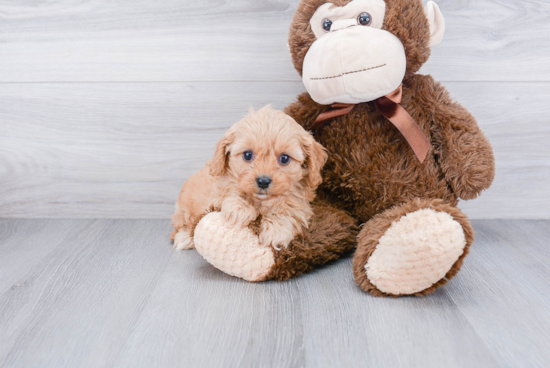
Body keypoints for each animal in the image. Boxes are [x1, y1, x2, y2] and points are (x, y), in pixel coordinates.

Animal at [171, 105, 328, 252]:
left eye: (284, 158)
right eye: (247, 155)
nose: (263, 181)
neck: (261, 201)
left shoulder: (300, 201)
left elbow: (289, 208)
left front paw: (276, 230)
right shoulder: (218, 190)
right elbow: (231, 189)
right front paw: (240, 209)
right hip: (184, 209)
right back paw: (184, 238)